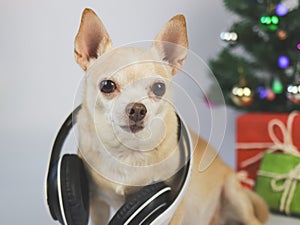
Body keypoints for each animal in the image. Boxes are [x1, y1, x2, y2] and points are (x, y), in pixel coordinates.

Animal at [73, 7, 270, 224]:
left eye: (159, 88)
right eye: (107, 86)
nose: (138, 109)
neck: (127, 151)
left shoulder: (174, 207)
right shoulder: (97, 202)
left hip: (234, 195)